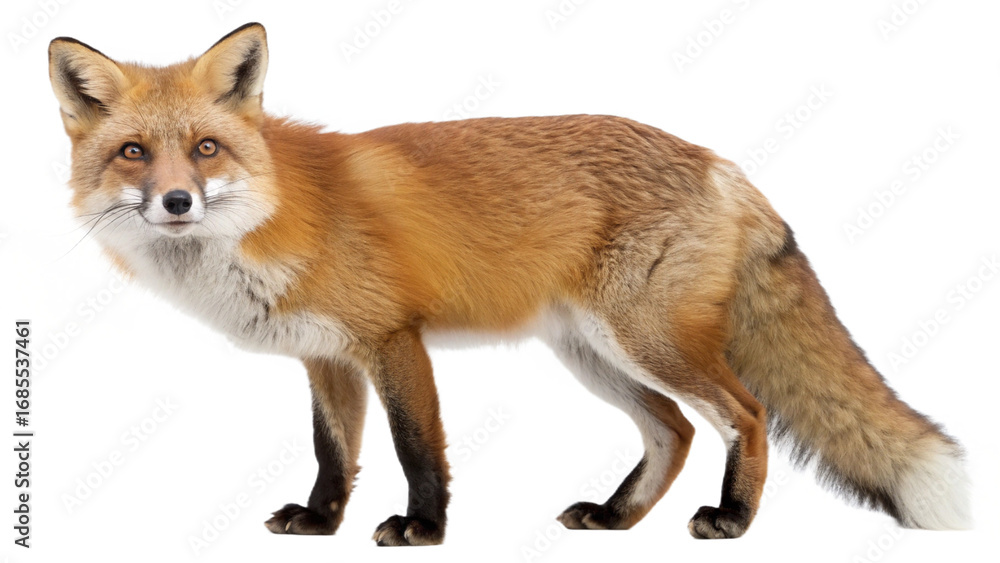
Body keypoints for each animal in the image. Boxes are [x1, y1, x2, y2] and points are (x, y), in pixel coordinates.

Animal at [47, 22, 970, 545]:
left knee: (743, 414)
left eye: (205, 149)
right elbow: (333, 453)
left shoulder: (393, 339)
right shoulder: (326, 358)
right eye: (134, 153)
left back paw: (733, 519)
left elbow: (416, 447)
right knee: (672, 430)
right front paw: (320, 522)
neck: (269, 219)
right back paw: (617, 518)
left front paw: (423, 527)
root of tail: (720, 161)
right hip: (593, 354)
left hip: (646, 340)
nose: (175, 201)